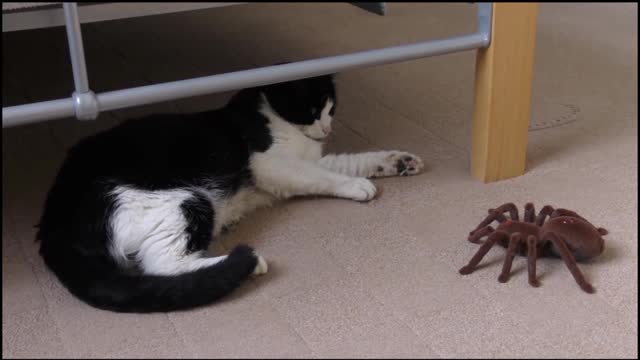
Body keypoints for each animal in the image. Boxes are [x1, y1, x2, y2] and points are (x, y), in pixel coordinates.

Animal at [36, 75, 424, 312]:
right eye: (313, 110)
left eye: (332, 108)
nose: (327, 128)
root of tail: (53, 221)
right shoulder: (271, 164)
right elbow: (322, 176)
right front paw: (357, 187)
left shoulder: (311, 158)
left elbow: (346, 163)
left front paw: (398, 162)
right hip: (180, 200)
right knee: (162, 264)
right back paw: (246, 263)